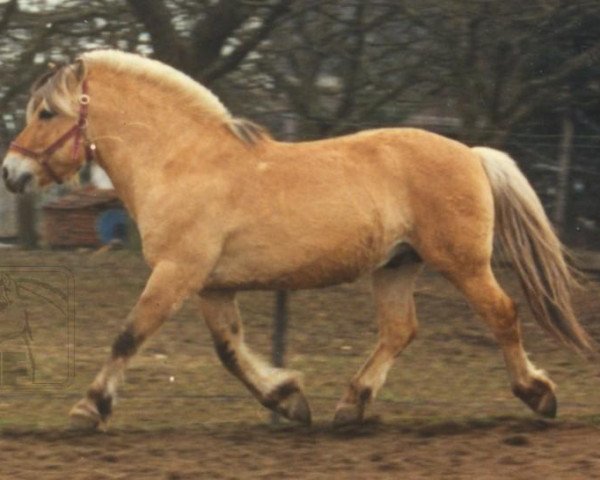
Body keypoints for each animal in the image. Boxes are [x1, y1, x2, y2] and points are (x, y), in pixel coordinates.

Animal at [1, 50, 596, 430]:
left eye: (47, 112)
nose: (11, 173)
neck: (180, 161)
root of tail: (472, 153)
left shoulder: (177, 272)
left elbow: (129, 336)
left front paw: (89, 409)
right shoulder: (211, 285)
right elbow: (229, 351)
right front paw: (287, 400)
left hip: (463, 264)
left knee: (502, 314)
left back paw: (539, 396)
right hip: (396, 266)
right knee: (399, 330)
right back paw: (351, 406)